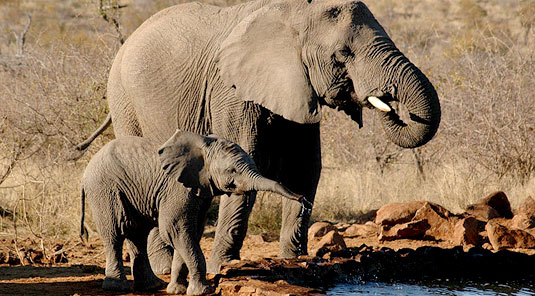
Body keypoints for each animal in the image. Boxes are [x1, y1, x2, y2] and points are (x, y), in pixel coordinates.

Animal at [81, 131, 304, 294]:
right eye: (232, 171)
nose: (302, 198)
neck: (204, 145)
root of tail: (88, 165)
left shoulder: (200, 189)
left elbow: (192, 233)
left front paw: (177, 291)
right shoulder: (178, 189)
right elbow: (174, 230)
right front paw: (203, 291)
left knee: (137, 234)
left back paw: (153, 286)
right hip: (104, 189)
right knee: (115, 233)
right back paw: (117, 287)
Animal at [91, 0, 440, 272]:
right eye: (342, 54)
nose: (387, 100)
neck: (295, 15)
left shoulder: (298, 88)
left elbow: (304, 169)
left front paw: (297, 261)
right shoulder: (230, 91)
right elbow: (246, 161)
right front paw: (223, 267)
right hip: (124, 100)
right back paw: (163, 268)